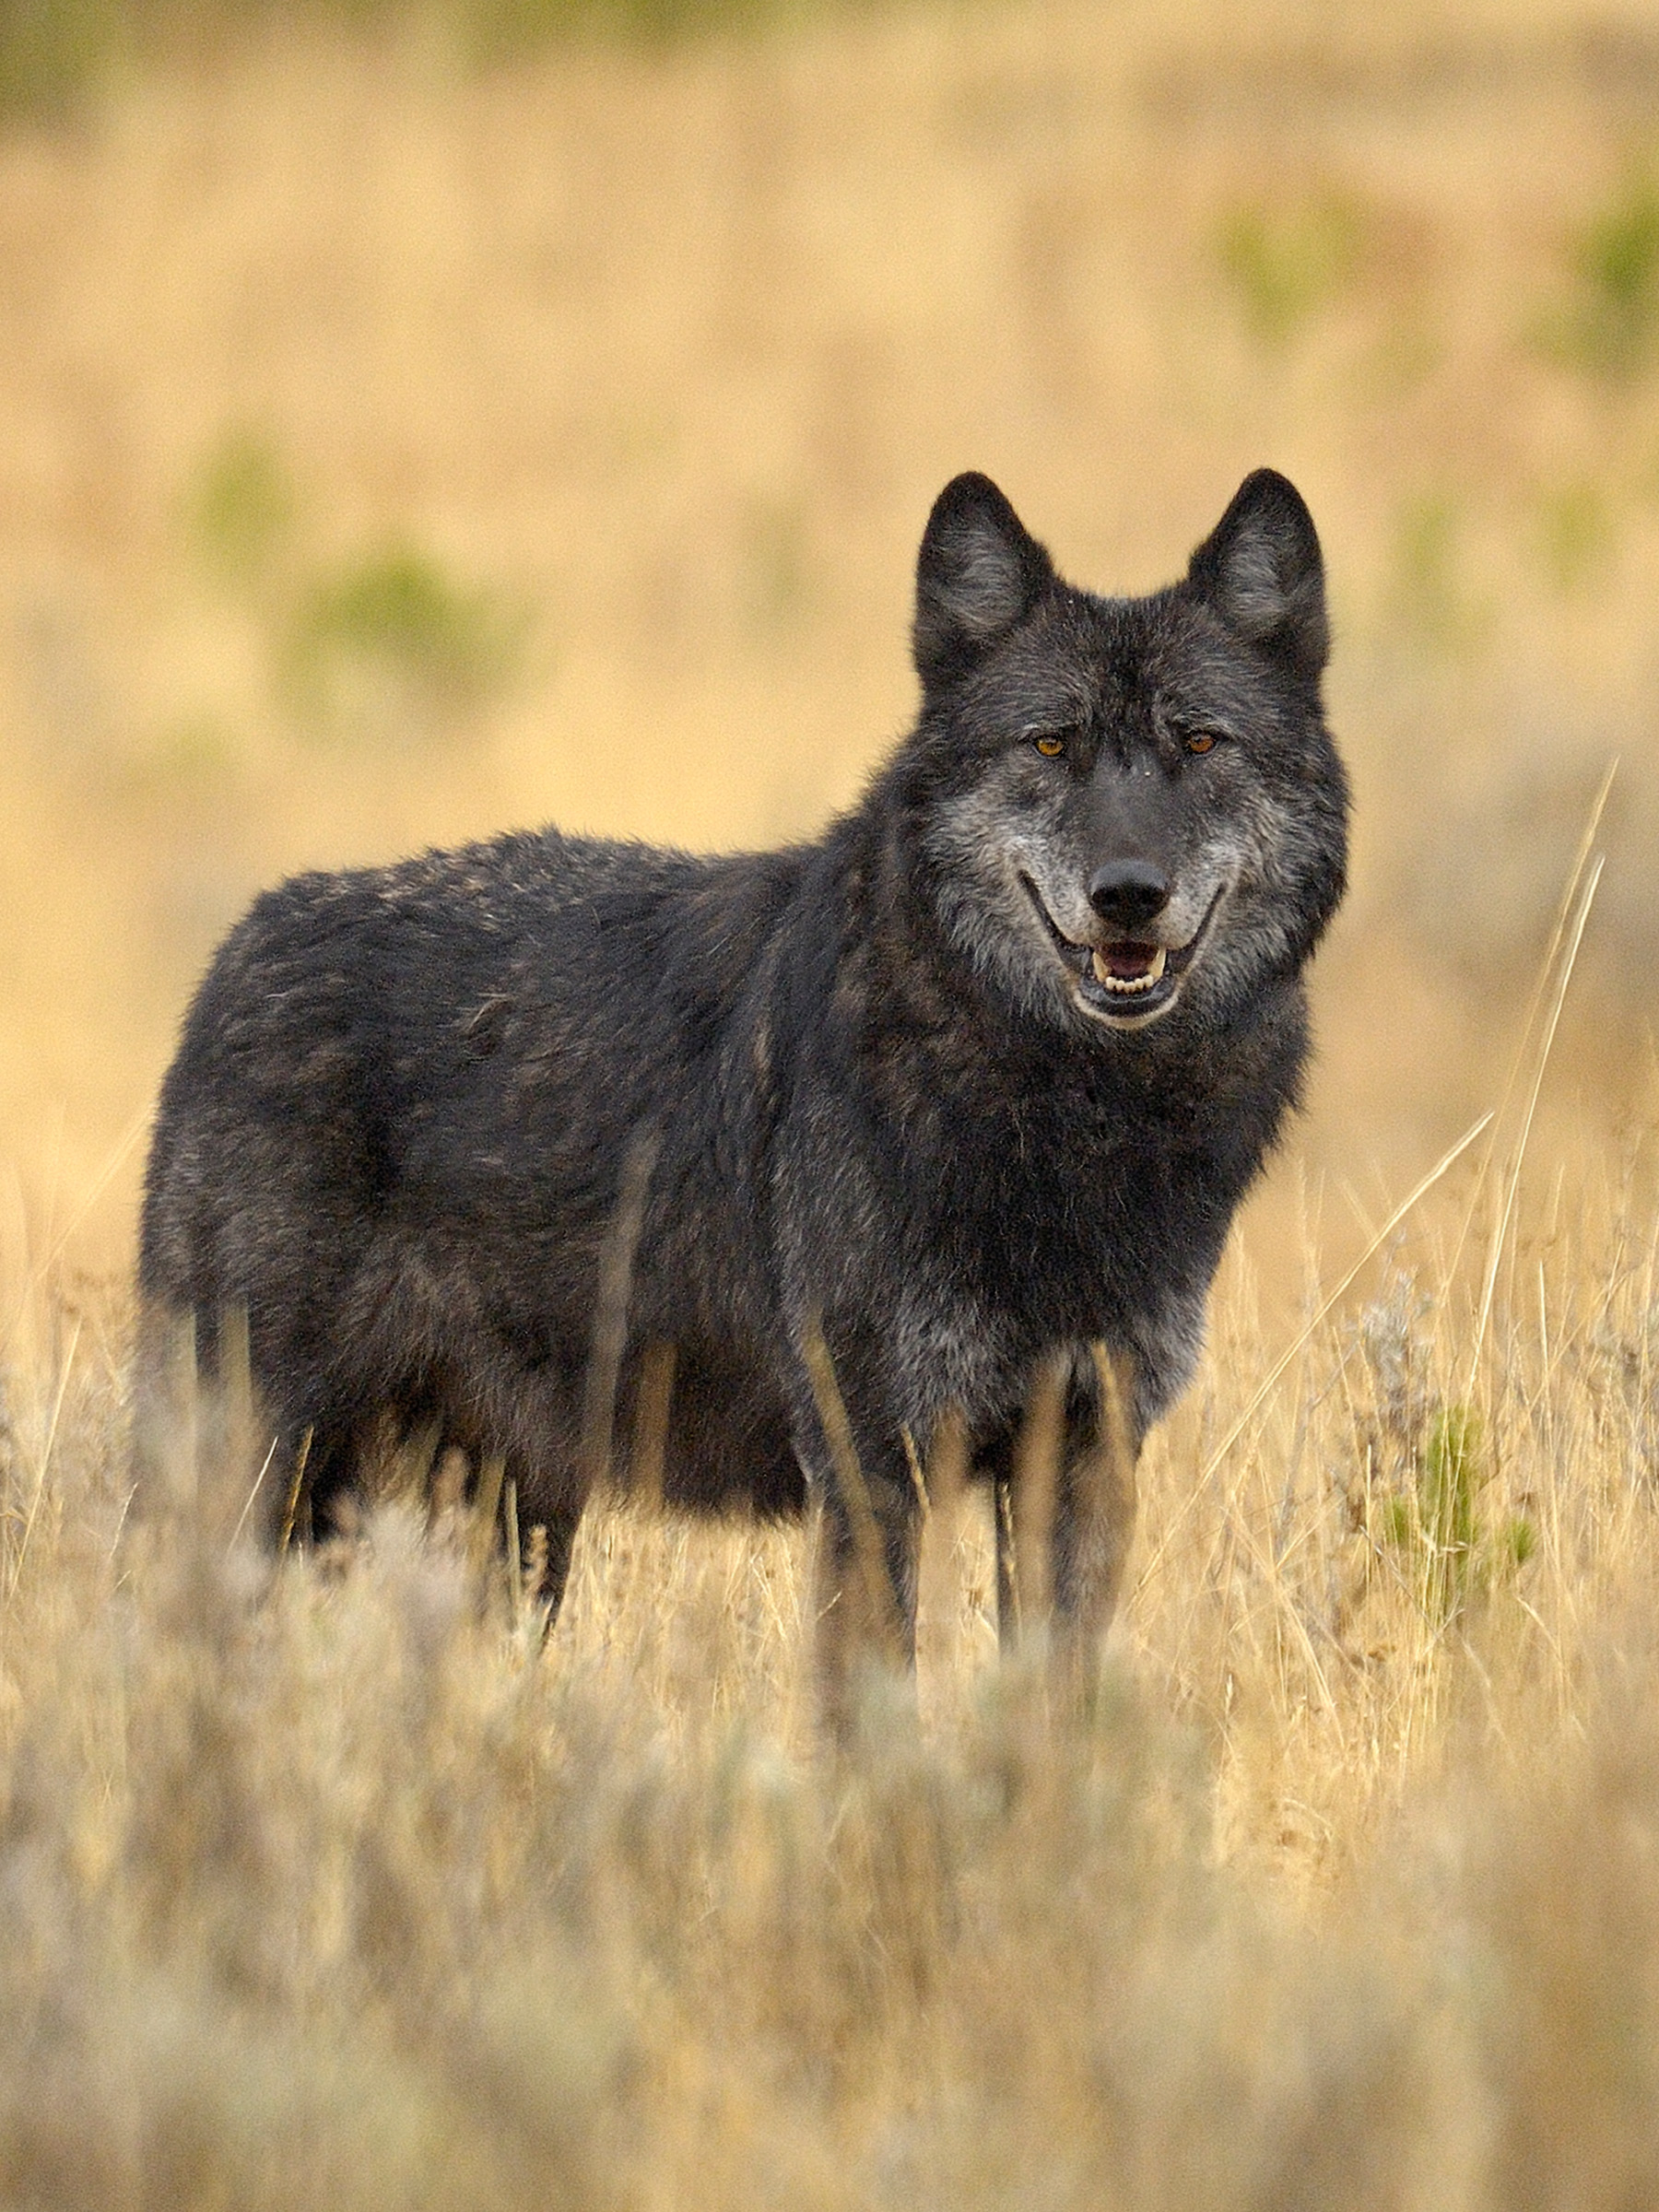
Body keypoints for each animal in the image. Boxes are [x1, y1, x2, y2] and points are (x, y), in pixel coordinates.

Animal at [136, 467, 1347, 1712]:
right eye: (1051, 744)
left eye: (1200, 741)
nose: (1128, 895)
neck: (1070, 1121)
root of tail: (242, 943)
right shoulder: (871, 1459)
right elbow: (872, 1709)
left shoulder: (1087, 1455)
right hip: (265, 1473)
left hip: (513, 1526)